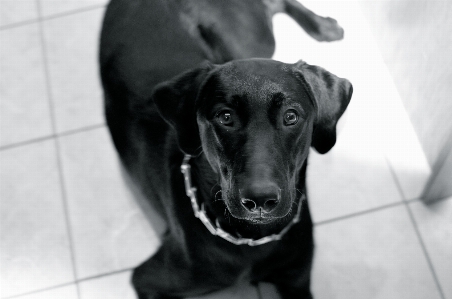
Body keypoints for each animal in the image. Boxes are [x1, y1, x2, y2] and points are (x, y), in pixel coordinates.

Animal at [100, 0, 354, 299]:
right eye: (225, 117)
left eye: (291, 117)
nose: (260, 200)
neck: (252, 239)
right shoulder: (149, 280)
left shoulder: (297, 280)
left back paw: (323, 26)